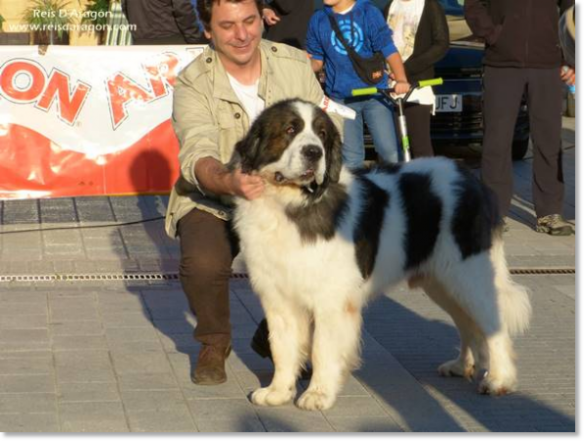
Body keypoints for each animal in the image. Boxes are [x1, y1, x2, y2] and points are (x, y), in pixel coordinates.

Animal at [229, 99, 528, 412]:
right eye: (290, 129)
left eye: (322, 135)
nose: (314, 152)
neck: (290, 204)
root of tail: (470, 179)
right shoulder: (278, 298)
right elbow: (282, 346)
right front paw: (278, 391)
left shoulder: (331, 300)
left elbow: (323, 348)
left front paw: (318, 394)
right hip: (442, 281)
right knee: (467, 323)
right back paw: (462, 365)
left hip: (468, 273)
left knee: (493, 323)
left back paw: (499, 379)